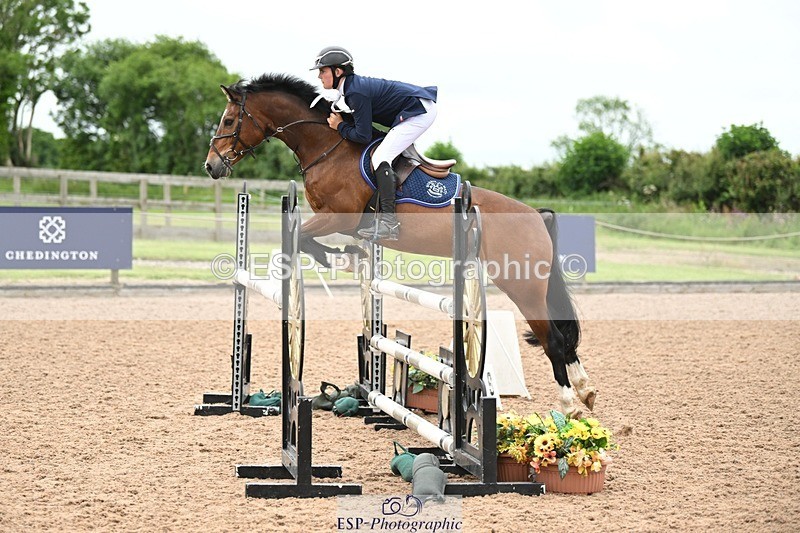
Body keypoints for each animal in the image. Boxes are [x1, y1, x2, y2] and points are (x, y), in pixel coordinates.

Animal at [203, 73, 596, 417]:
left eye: (228, 120)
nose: (211, 167)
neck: (327, 148)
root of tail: (535, 215)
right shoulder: (339, 223)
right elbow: (311, 242)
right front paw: (348, 256)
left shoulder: (339, 218)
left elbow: (299, 239)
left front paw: (338, 259)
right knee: (561, 334)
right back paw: (585, 389)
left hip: (521, 284)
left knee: (553, 339)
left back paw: (570, 404)